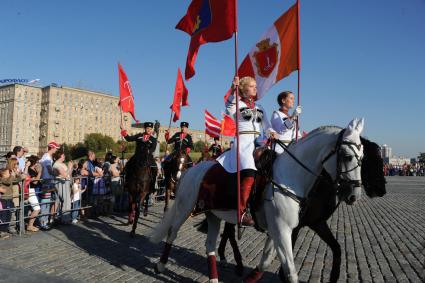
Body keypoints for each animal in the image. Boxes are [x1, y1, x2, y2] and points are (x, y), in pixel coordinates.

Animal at [150, 119, 364, 283]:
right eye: (347, 156)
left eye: (362, 157)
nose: (354, 195)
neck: (289, 177)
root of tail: (191, 170)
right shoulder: (282, 229)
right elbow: (291, 272)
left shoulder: (278, 229)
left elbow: (266, 261)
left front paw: (249, 277)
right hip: (184, 208)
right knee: (172, 232)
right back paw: (161, 264)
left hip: (213, 214)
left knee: (210, 245)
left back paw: (214, 277)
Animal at [217, 137, 386, 282]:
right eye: (368, 160)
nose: (381, 190)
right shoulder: (292, 226)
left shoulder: (317, 223)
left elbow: (337, 248)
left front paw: (334, 277)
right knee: (229, 232)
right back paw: (233, 262)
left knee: (227, 231)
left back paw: (226, 258)